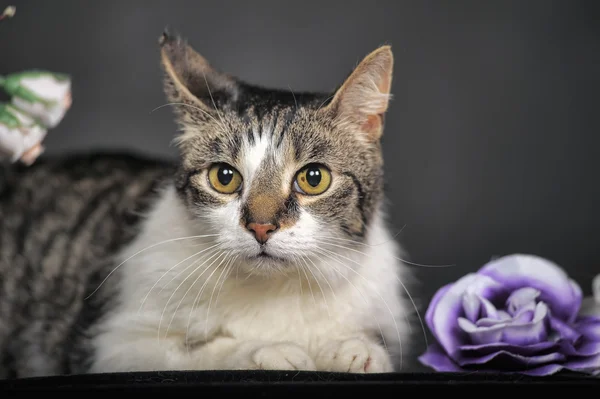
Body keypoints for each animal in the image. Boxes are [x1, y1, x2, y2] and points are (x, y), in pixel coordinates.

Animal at [0, 30, 412, 378]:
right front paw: (266, 351)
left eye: (314, 178)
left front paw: (354, 349)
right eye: (224, 177)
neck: (276, 290)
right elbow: (194, 354)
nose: (261, 226)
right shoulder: (113, 343)